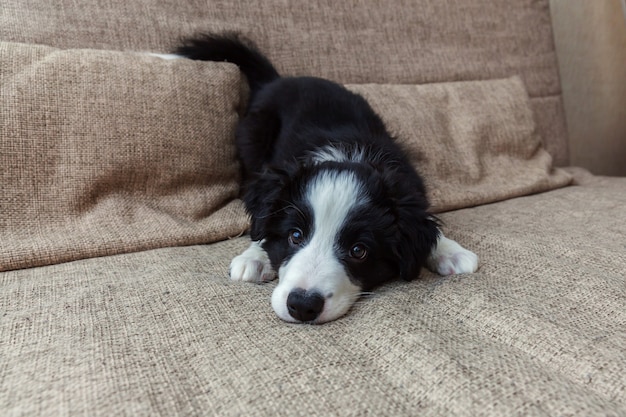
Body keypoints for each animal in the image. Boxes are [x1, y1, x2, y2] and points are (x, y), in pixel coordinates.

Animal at [161, 34, 472, 324]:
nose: (302, 306)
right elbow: (262, 227)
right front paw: (254, 257)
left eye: (358, 251)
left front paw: (450, 251)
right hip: (252, 137)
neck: (348, 154)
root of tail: (279, 79)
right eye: (295, 236)